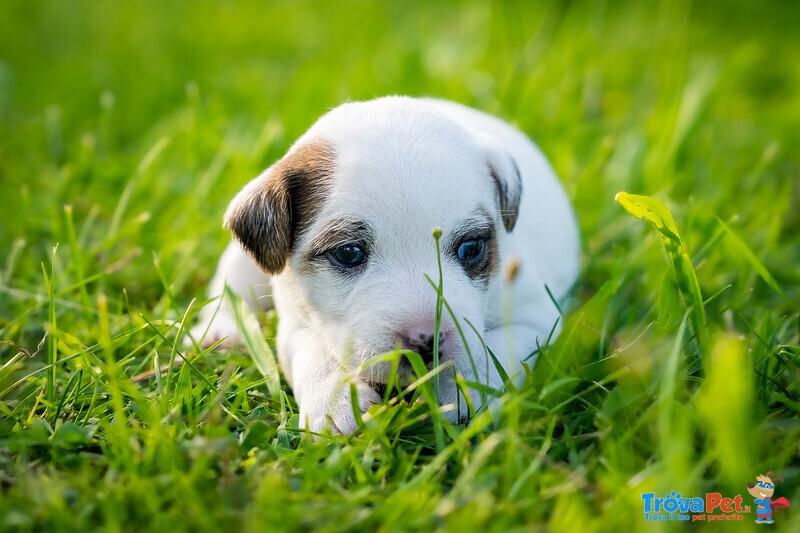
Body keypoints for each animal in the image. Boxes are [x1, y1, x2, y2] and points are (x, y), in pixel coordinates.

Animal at [194, 97, 580, 434]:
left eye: (471, 247)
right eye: (349, 253)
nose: (425, 339)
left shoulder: (536, 315)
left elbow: (495, 349)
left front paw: (465, 390)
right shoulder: (295, 322)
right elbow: (313, 354)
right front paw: (334, 405)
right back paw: (218, 333)